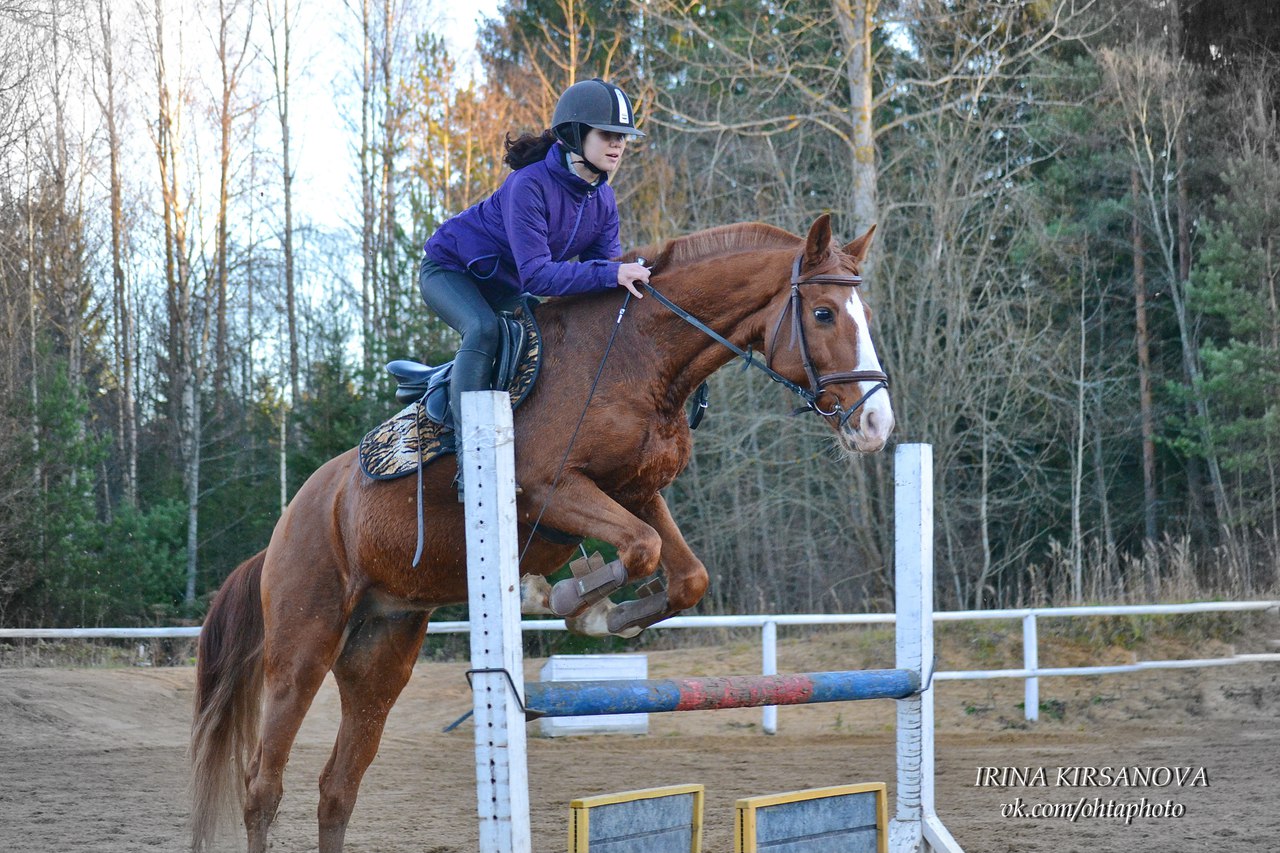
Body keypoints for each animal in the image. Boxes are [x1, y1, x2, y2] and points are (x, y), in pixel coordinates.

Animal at [189, 214, 895, 853]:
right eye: (824, 314)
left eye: (862, 312)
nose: (877, 425)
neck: (640, 358)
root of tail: (289, 522)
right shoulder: (550, 490)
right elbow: (642, 551)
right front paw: (560, 597)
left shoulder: (636, 491)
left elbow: (684, 572)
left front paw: (601, 612)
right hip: (302, 647)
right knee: (263, 785)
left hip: (381, 651)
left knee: (338, 787)